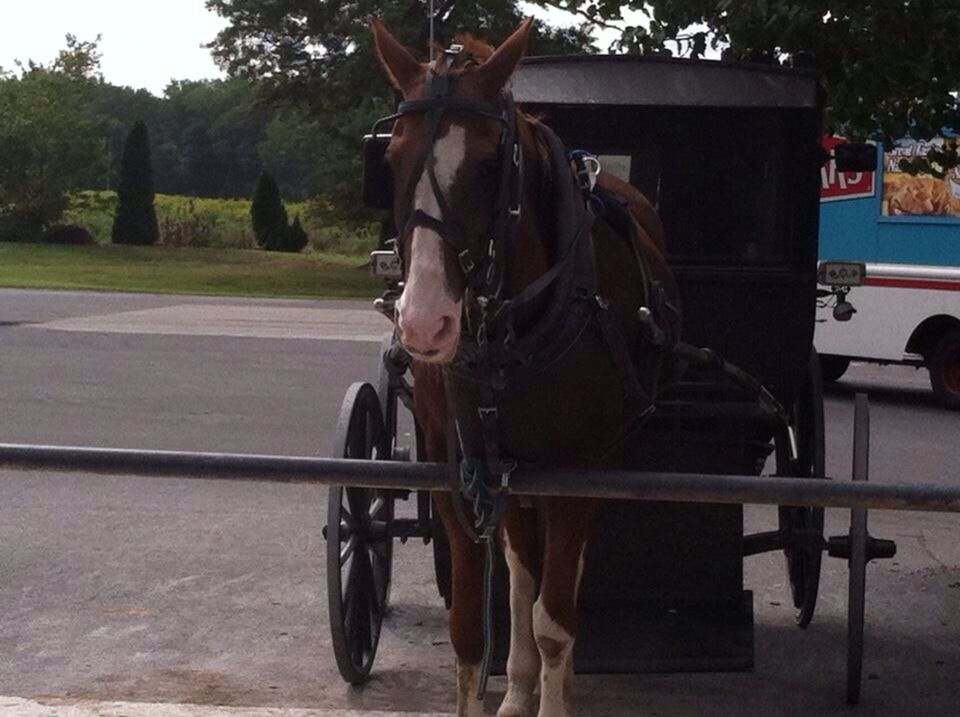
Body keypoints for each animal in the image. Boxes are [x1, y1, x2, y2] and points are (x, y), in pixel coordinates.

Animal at [371, 17, 681, 717]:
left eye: (489, 164)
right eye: (390, 160)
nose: (425, 322)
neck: (507, 336)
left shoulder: (580, 473)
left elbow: (556, 619)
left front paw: (556, 688)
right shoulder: (458, 472)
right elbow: (470, 626)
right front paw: (502, 685)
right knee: (518, 573)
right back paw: (516, 687)